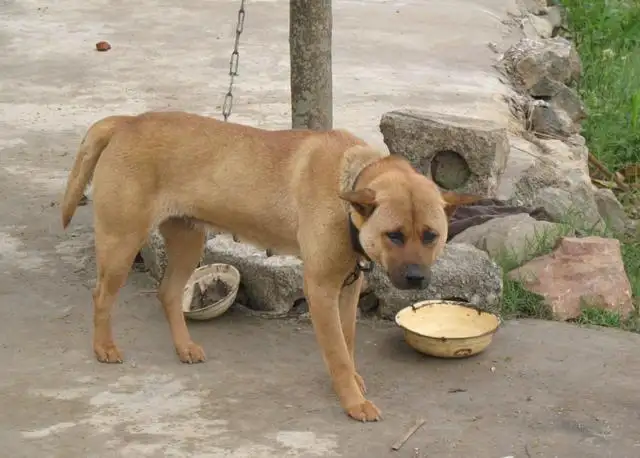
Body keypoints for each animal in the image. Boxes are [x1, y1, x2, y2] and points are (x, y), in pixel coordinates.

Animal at [60, 111, 478, 422]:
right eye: (394, 235)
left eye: (430, 235)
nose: (416, 278)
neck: (350, 187)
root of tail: (126, 121)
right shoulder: (320, 289)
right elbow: (337, 353)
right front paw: (352, 400)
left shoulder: (347, 288)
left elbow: (347, 341)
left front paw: (354, 381)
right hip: (122, 242)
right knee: (101, 295)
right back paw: (104, 347)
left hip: (187, 241)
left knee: (167, 292)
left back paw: (184, 347)